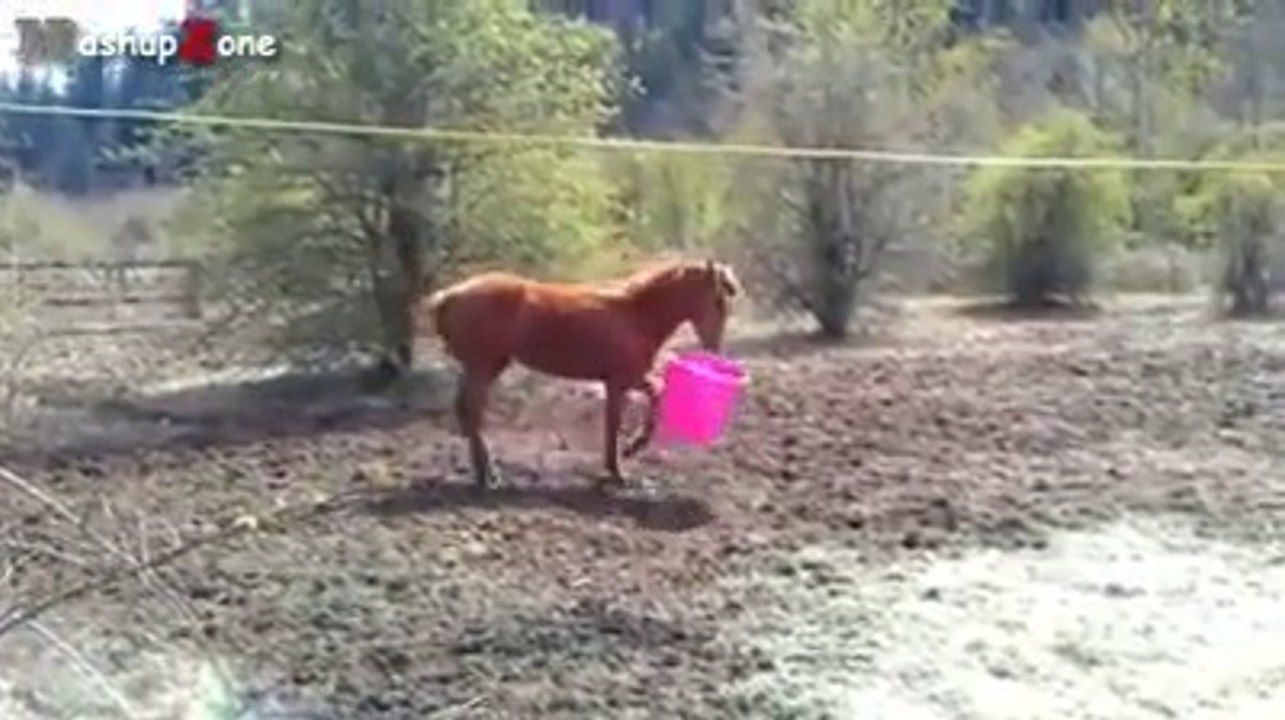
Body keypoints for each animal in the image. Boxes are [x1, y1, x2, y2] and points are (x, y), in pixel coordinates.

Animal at [408, 257, 742, 490]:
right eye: (717, 300)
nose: (715, 348)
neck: (636, 313)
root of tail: (448, 295)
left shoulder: (623, 380)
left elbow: (643, 402)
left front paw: (622, 461)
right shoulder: (621, 381)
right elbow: (627, 415)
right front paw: (623, 465)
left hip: (484, 366)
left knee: (466, 411)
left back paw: (484, 473)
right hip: (483, 366)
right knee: (473, 412)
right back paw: (488, 476)